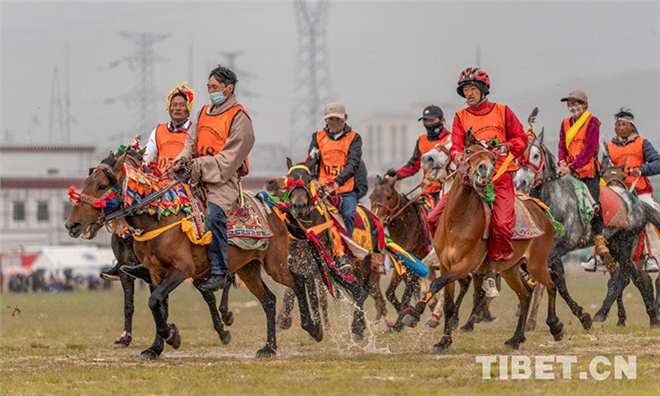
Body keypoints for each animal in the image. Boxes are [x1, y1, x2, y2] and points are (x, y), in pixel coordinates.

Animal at [67, 148, 322, 358]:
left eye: (101, 186)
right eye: (87, 182)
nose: (72, 225)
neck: (158, 219)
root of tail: (274, 206)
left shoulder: (182, 269)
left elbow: (155, 300)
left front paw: (172, 337)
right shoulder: (154, 272)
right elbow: (157, 305)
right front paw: (157, 345)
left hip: (274, 264)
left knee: (298, 280)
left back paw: (313, 328)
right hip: (248, 268)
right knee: (269, 300)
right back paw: (269, 347)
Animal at [400, 131, 564, 352]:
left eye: (493, 158)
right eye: (468, 151)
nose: (485, 170)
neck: (456, 222)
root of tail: (541, 208)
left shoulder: (466, 265)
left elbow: (437, 283)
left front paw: (415, 313)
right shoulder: (444, 264)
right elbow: (446, 300)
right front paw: (443, 340)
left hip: (536, 263)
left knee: (551, 282)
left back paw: (555, 327)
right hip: (510, 268)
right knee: (525, 294)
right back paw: (515, 338)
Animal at [516, 133, 660, 328]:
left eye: (536, 155)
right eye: (517, 156)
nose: (519, 182)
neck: (555, 201)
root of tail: (638, 204)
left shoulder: (562, 245)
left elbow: (542, 276)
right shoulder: (551, 249)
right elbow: (560, 282)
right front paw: (582, 317)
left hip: (627, 242)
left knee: (624, 277)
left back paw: (604, 313)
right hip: (614, 246)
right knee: (636, 276)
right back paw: (652, 317)